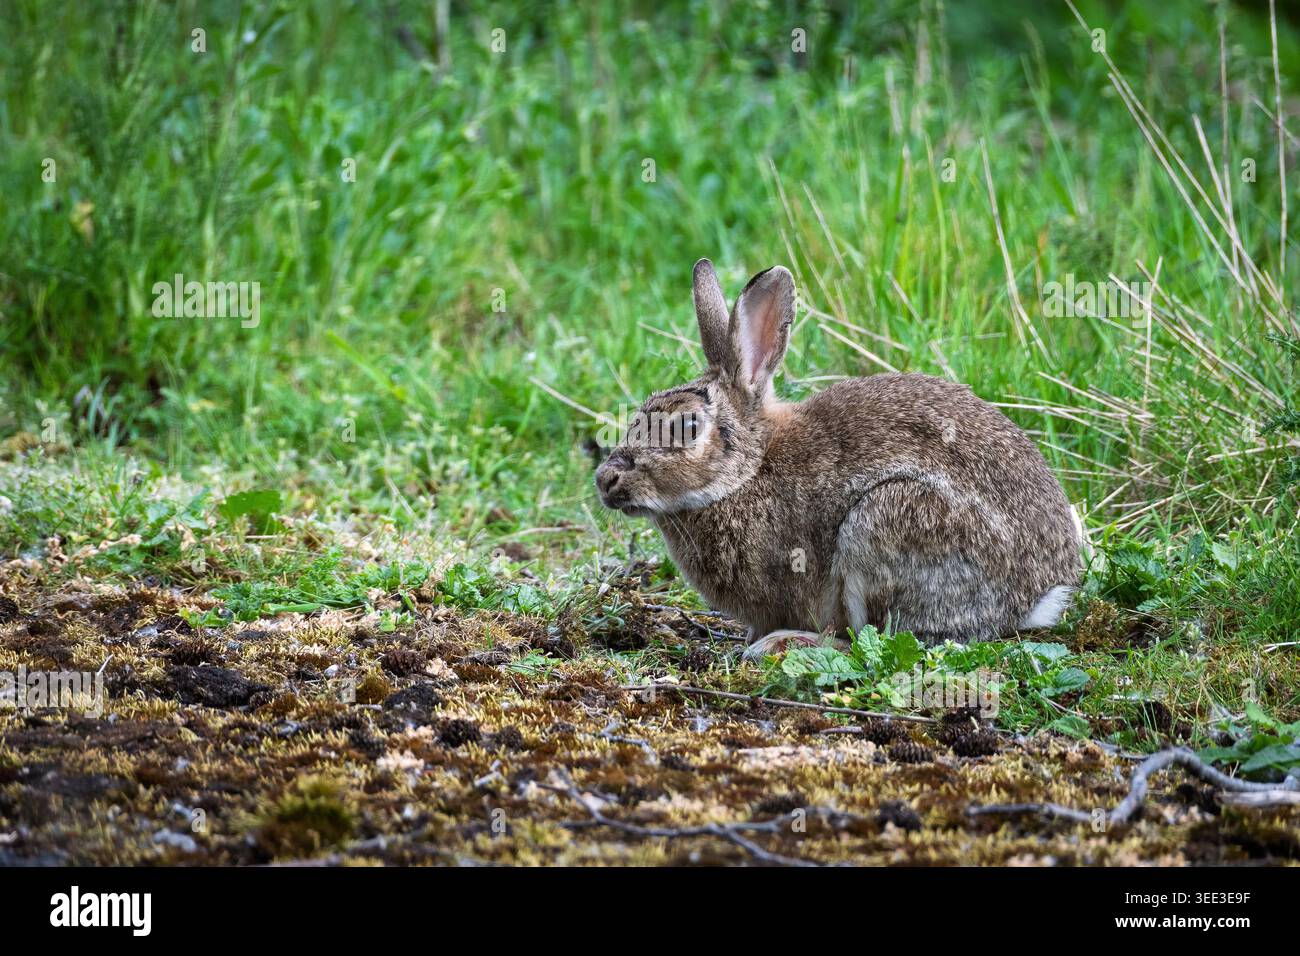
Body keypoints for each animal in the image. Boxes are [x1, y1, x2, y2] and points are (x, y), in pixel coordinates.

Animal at [594, 259, 1083, 656]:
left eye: (688, 427)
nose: (605, 479)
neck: (747, 472)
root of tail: (1033, 598)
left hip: (888, 520)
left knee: (879, 640)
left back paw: (788, 643)